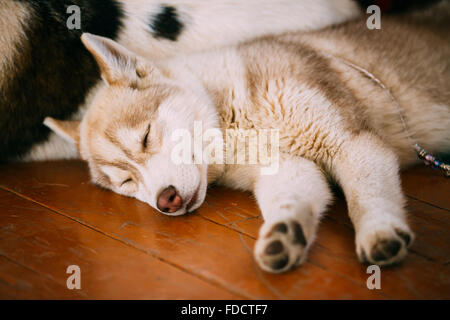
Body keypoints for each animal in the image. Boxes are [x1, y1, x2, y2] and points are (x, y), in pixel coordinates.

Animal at [44, 2, 448, 272]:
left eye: (145, 137)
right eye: (127, 183)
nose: (166, 200)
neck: (234, 118)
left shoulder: (352, 143)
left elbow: (367, 197)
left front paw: (379, 232)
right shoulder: (286, 167)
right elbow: (291, 199)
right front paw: (285, 234)